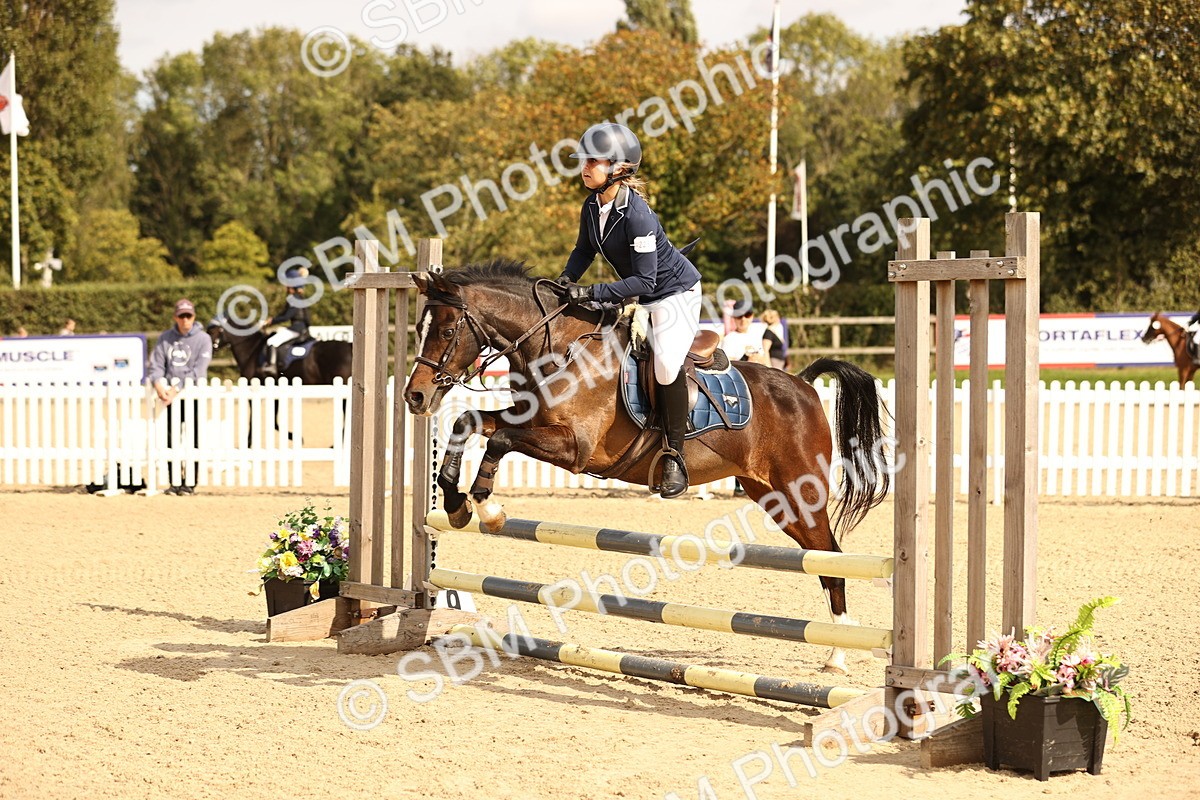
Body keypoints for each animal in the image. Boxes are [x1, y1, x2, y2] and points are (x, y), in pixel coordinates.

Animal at [402, 261, 891, 674]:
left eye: (446, 330)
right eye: (422, 328)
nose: (415, 397)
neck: (559, 347)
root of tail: (803, 385)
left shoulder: (575, 448)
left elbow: (499, 441)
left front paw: (486, 507)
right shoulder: (527, 420)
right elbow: (469, 421)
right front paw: (454, 501)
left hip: (799, 493)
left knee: (830, 557)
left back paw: (837, 654)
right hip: (770, 496)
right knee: (819, 557)